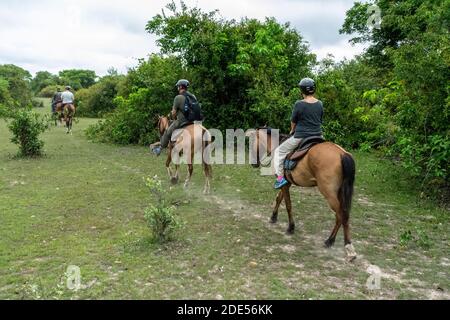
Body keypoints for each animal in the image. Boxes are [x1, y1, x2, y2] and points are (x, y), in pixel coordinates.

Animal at [251, 129, 356, 262]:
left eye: (253, 142)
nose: (253, 163)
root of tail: (342, 154)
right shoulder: (286, 182)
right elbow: (279, 198)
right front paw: (273, 217)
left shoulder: (285, 183)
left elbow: (288, 205)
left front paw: (291, 227)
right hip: (340, 192)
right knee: (343, 215)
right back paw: (336, 242)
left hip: (329, 193)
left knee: (340, 215)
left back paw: (340, 244)